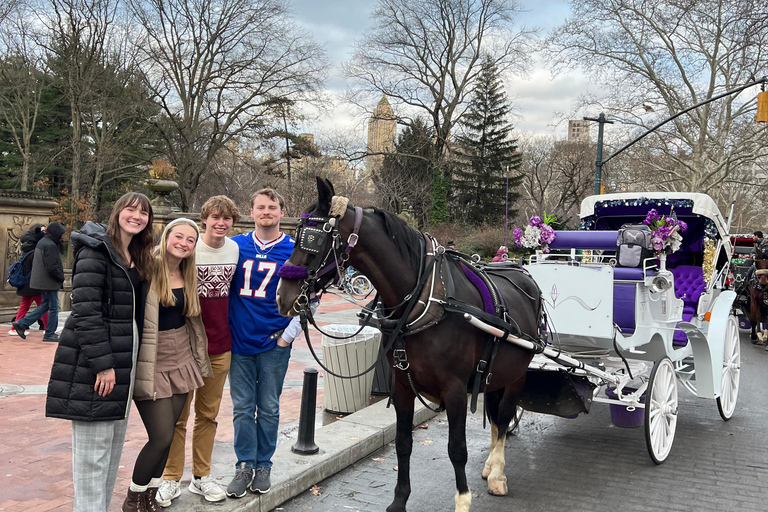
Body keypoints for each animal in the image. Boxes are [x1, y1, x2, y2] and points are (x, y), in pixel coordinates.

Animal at [274, 178, 540, 510]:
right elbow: (403, 442)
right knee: (494, 417)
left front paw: (463, 500)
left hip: (518, 374)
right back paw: (491, 466)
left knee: (503, 417)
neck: (425, 299)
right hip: (495, 374)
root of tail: (522, 271)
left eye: (313, 238)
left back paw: (498, 475)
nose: (283, 295)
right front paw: (399, 500)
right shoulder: (401, 385)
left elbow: (457, 449)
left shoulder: (454, 390)